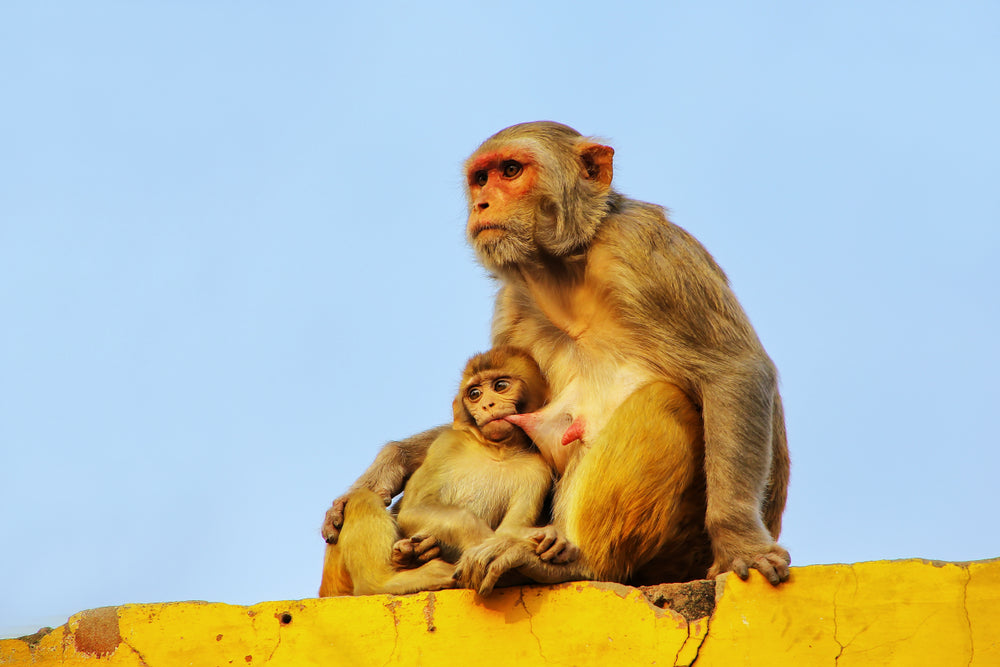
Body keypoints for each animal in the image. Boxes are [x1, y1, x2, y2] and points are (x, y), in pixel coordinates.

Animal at [320, 348, 572, 596]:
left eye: (500, 386)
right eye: (475, 394)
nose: (487, 405)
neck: (499, 451)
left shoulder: (538, 469)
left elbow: (510, 528)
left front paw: (521, 547)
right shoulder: (447, 444)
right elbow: (414, 510)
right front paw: (496, 544)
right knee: (362, 498)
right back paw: (385, 581)